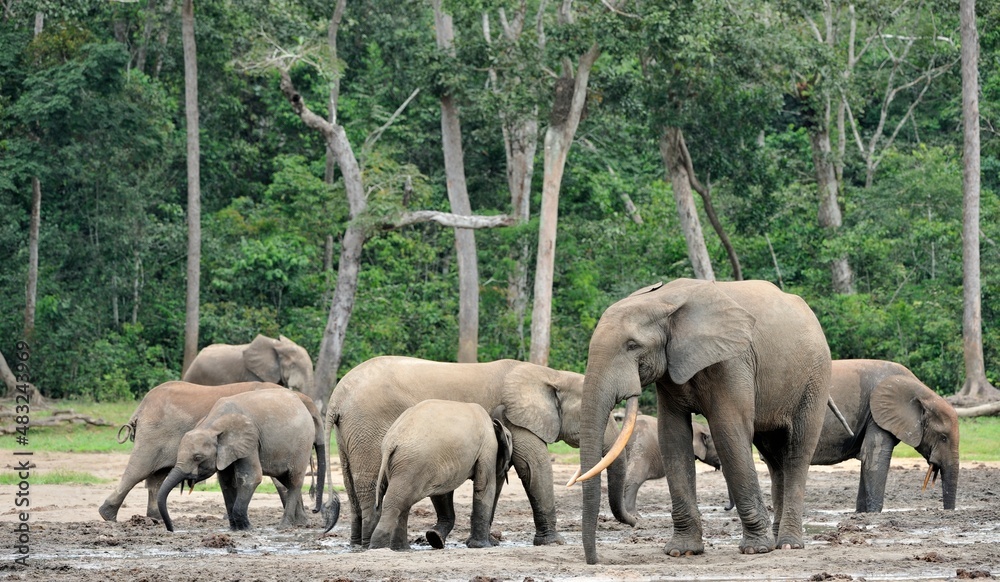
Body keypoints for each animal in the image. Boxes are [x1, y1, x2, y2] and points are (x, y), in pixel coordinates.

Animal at [99, 380, 284, 522]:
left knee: (157, 476)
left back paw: (155, 518)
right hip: (152, 435)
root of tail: (141, 408)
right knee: (139, 470)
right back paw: (108, 516)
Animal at [157, 388, 333, 532]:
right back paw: (300, 524)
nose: (171, 529)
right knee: (286, 480)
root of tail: (303, 401)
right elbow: (226, 482)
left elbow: (250, 477)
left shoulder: (250, 440)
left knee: (294, 480)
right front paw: (235, 529)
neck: (212, 425)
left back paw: (284, 526)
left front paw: (247, 528)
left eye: (197, 457)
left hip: (302, 444)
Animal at [368, 400, 513, 550]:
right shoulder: (488, 447)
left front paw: (435, 538)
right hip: (414, 462)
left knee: (403, 503)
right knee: (397, 502)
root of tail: (391, 442)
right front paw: (482, 546)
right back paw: (379, 547)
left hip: (405, 464)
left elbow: (442, 494)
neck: (494, 423)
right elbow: (484, 486)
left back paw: (401, 549)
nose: (495, 542)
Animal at [573, 279, 832, 563]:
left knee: (797, 452)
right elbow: (672, 436)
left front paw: (755, 549)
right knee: (775, 460)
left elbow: (728, 430)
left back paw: (788, 545)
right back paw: (777, 540)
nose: (594, 560)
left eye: (632, 345)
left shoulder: (732, 360)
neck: (662, 300)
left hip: (815, 377)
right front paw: (682, 551)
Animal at [811, 359, 959, 512]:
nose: (947, 512)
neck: (922, 393)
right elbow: (875, 457)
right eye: (943, 437)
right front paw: (874, 513)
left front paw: (863, 514)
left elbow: (867, 458)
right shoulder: (877, 414)